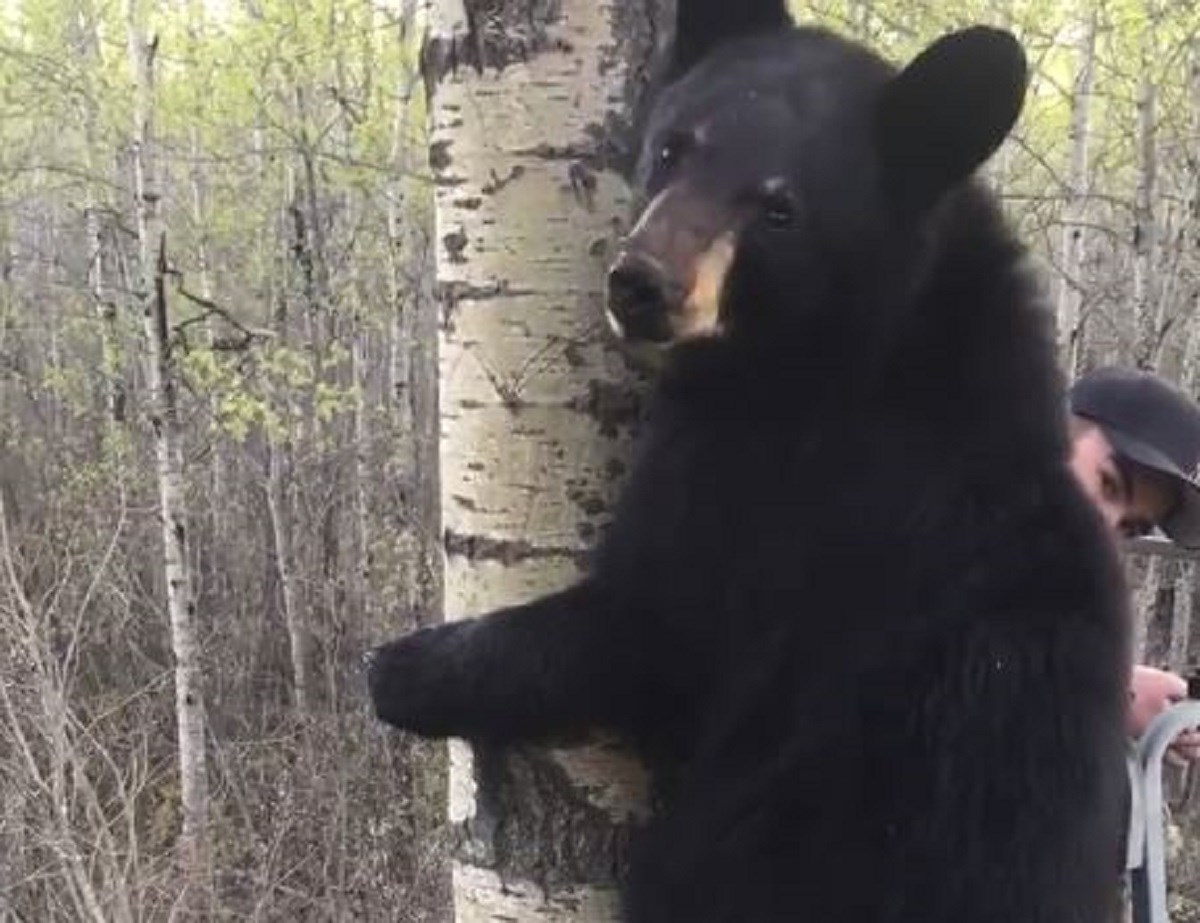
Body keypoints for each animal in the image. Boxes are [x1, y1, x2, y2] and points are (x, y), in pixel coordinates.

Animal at [372, 3, 1132, 916]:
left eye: (779, 208)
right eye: (674, 147)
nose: (642, 284)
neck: (854, 346)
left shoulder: (778, 493)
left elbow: (649, 622)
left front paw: (404, 668)